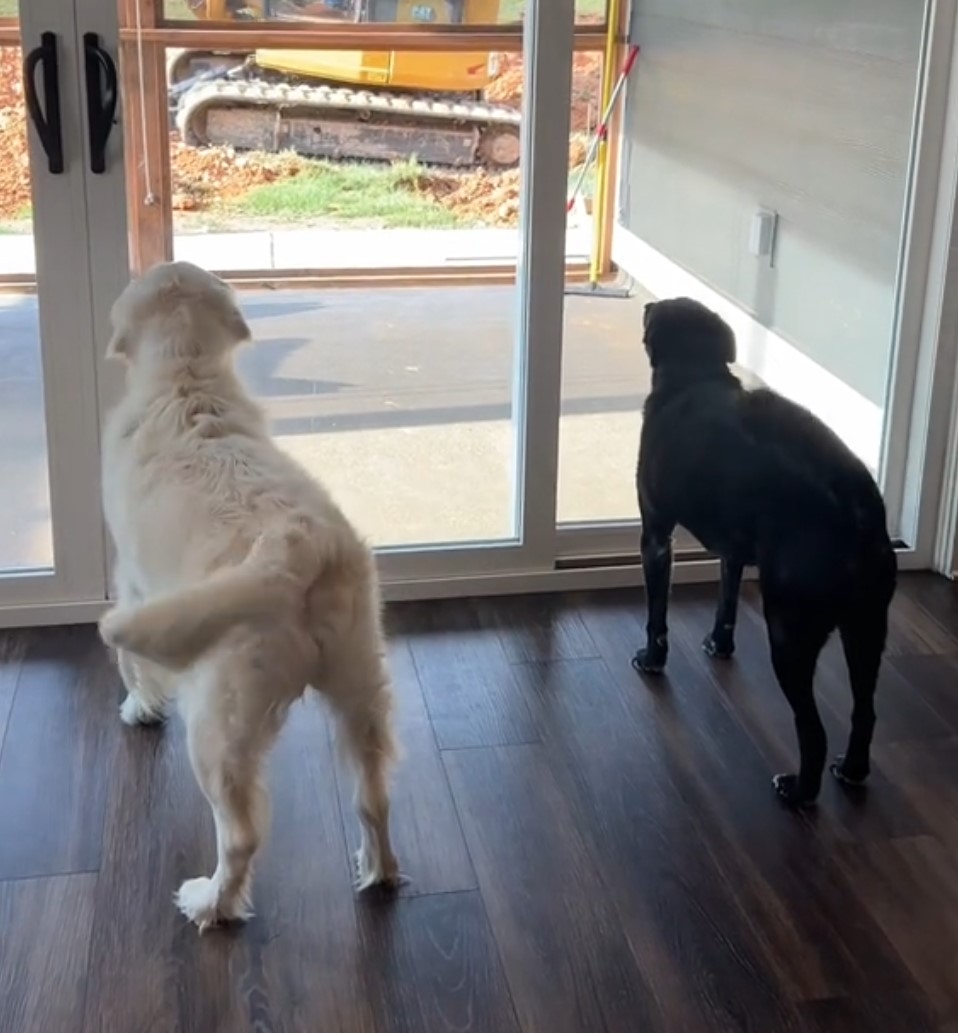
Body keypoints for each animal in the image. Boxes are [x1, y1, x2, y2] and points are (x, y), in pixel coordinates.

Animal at [101, 262, 405, 933]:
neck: (187, 379)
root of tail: (297, 543)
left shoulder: (131, 580)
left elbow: (129, 661)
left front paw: (140, 707)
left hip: (219, 723)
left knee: (240, 836)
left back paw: (210, 902)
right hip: (361, 684)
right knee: (373, 798)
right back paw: (378, 871)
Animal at [636, 299, 901, 805]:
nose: (646, 305)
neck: (695, 374)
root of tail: (857, 515)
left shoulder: (656, 535)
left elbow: (656, 615)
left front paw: (652, 659)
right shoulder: (733, 551)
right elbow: (726, 602)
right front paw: (719, 645)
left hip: (789, 634)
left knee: (813, 730)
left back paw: (799, 790)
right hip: (867, 629)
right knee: (866, 710)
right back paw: (852, 770)